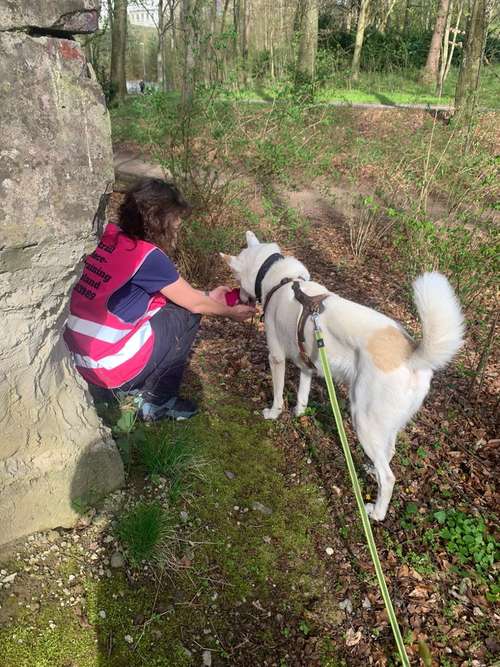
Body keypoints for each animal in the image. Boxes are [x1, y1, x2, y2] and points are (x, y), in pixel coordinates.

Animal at [223, 234, 464, 520]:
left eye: (236, 278)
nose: (239, 298)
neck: (282, 279)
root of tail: (413, 354)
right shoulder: (307, 365)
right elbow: (302, 394)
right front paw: (298, 413)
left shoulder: (277, 357)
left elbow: (278, 395)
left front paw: (273, 413)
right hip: (386, 423)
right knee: (388, 452)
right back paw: (370, 469)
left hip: (363, 418)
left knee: (389, 478)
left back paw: (376, 512)